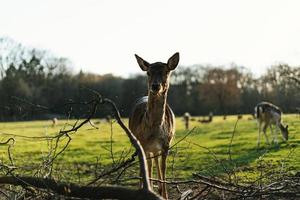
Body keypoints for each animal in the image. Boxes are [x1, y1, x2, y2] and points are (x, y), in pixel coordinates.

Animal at [128, 52, 179, 198]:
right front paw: (145, 189)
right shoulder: (142, 144)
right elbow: (145, 168)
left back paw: (158, 189)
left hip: (156, 148)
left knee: (155, 163)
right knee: (148, 164)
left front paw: (165, 195)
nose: (155, 86)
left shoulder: (166, 144)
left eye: (166, 71)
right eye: (148, 73)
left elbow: (163, 168)